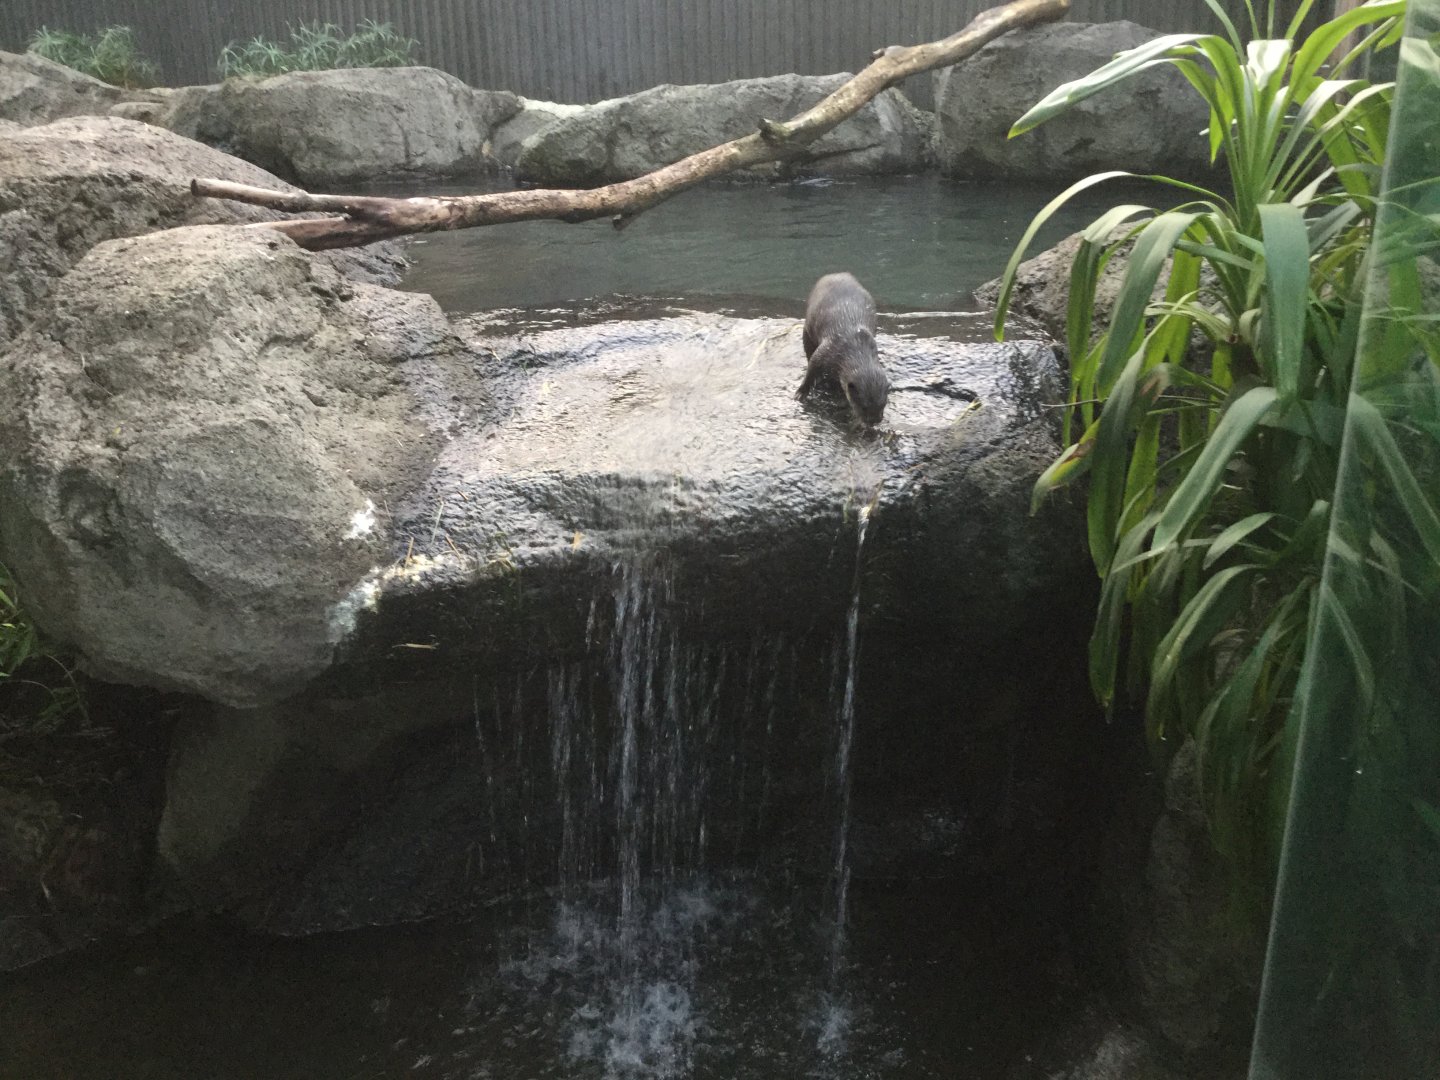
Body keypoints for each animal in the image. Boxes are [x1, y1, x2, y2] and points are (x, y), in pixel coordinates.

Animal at [796, 272, 890, 427]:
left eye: (883, 404)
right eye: (863, 406)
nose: (874, 421)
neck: (854, 345)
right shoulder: (827, 349)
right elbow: (811, 367)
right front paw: (801, 393)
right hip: (807, 329)